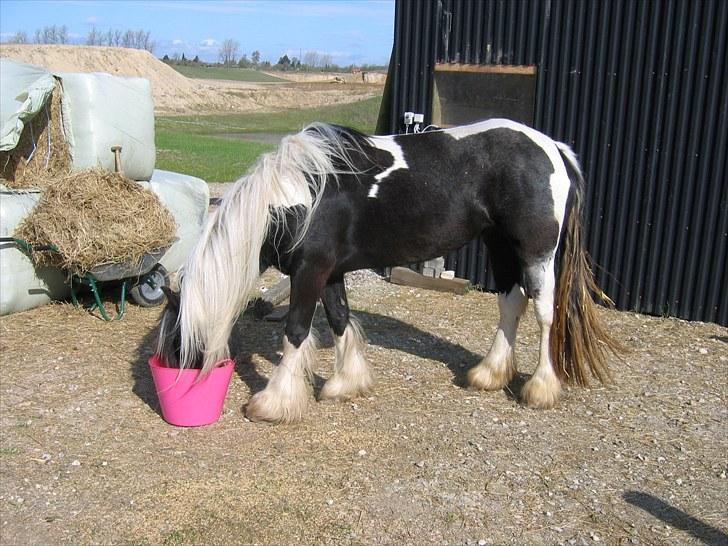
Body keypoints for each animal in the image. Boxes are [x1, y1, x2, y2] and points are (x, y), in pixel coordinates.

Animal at [155, 118, 620, 424]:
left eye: (177, 339)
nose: (172, 378)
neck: (296, 198)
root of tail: (553, 146)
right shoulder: (329, 273)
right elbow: (339, 319)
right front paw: (346, 383)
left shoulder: (309, 271)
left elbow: (296, 331)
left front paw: (272, 403)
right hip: (500, 246)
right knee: (510, 303)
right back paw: (488, 374)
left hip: (535, 252)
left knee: (544, 313)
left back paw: (540, 388)